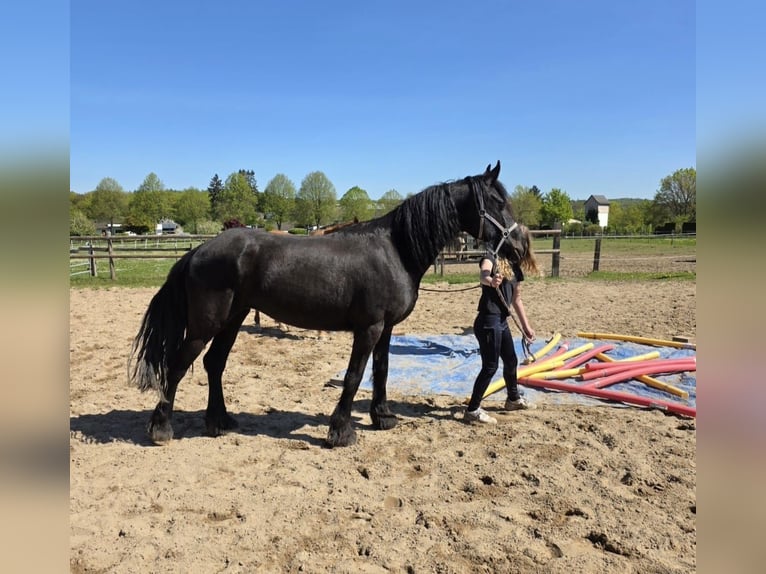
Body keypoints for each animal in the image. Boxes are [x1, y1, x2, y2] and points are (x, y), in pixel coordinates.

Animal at [129, 161, 528, 448]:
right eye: (497, 202)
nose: (519, 245)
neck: (395, 249)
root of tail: (198, 250)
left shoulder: (386, 329)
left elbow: (381, 371)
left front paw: (382, 418)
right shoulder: (368, 328)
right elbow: (353, 377)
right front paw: (340, 431)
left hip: (233, 319)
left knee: (214, 364)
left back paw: (219, 422)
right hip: (206, 325)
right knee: (178, 366)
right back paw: (161, 429)